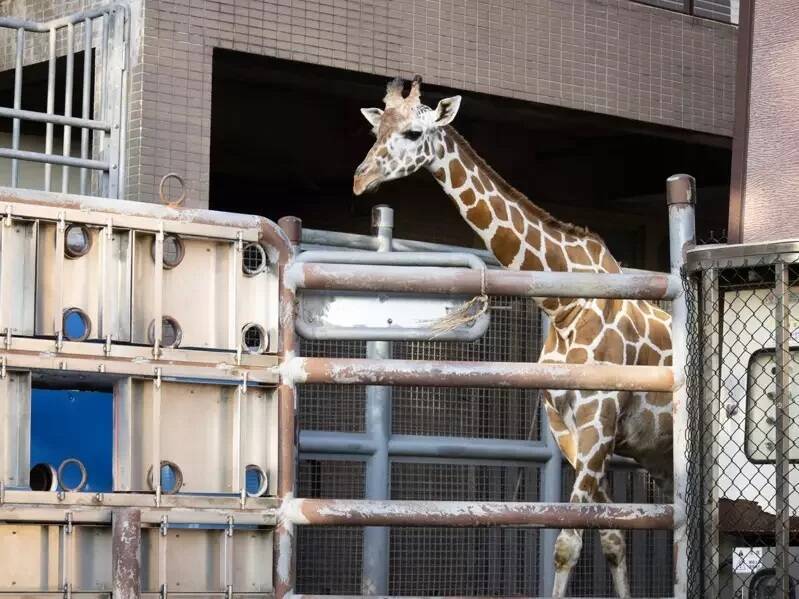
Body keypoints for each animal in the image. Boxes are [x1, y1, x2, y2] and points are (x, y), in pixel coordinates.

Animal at [354, 76, 672, 599]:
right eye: (376, 129)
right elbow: (611, 539)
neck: (563, 307)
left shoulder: (599, 421)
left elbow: (567, 543)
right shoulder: (571, 432)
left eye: (414, 133)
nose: (360, 179)